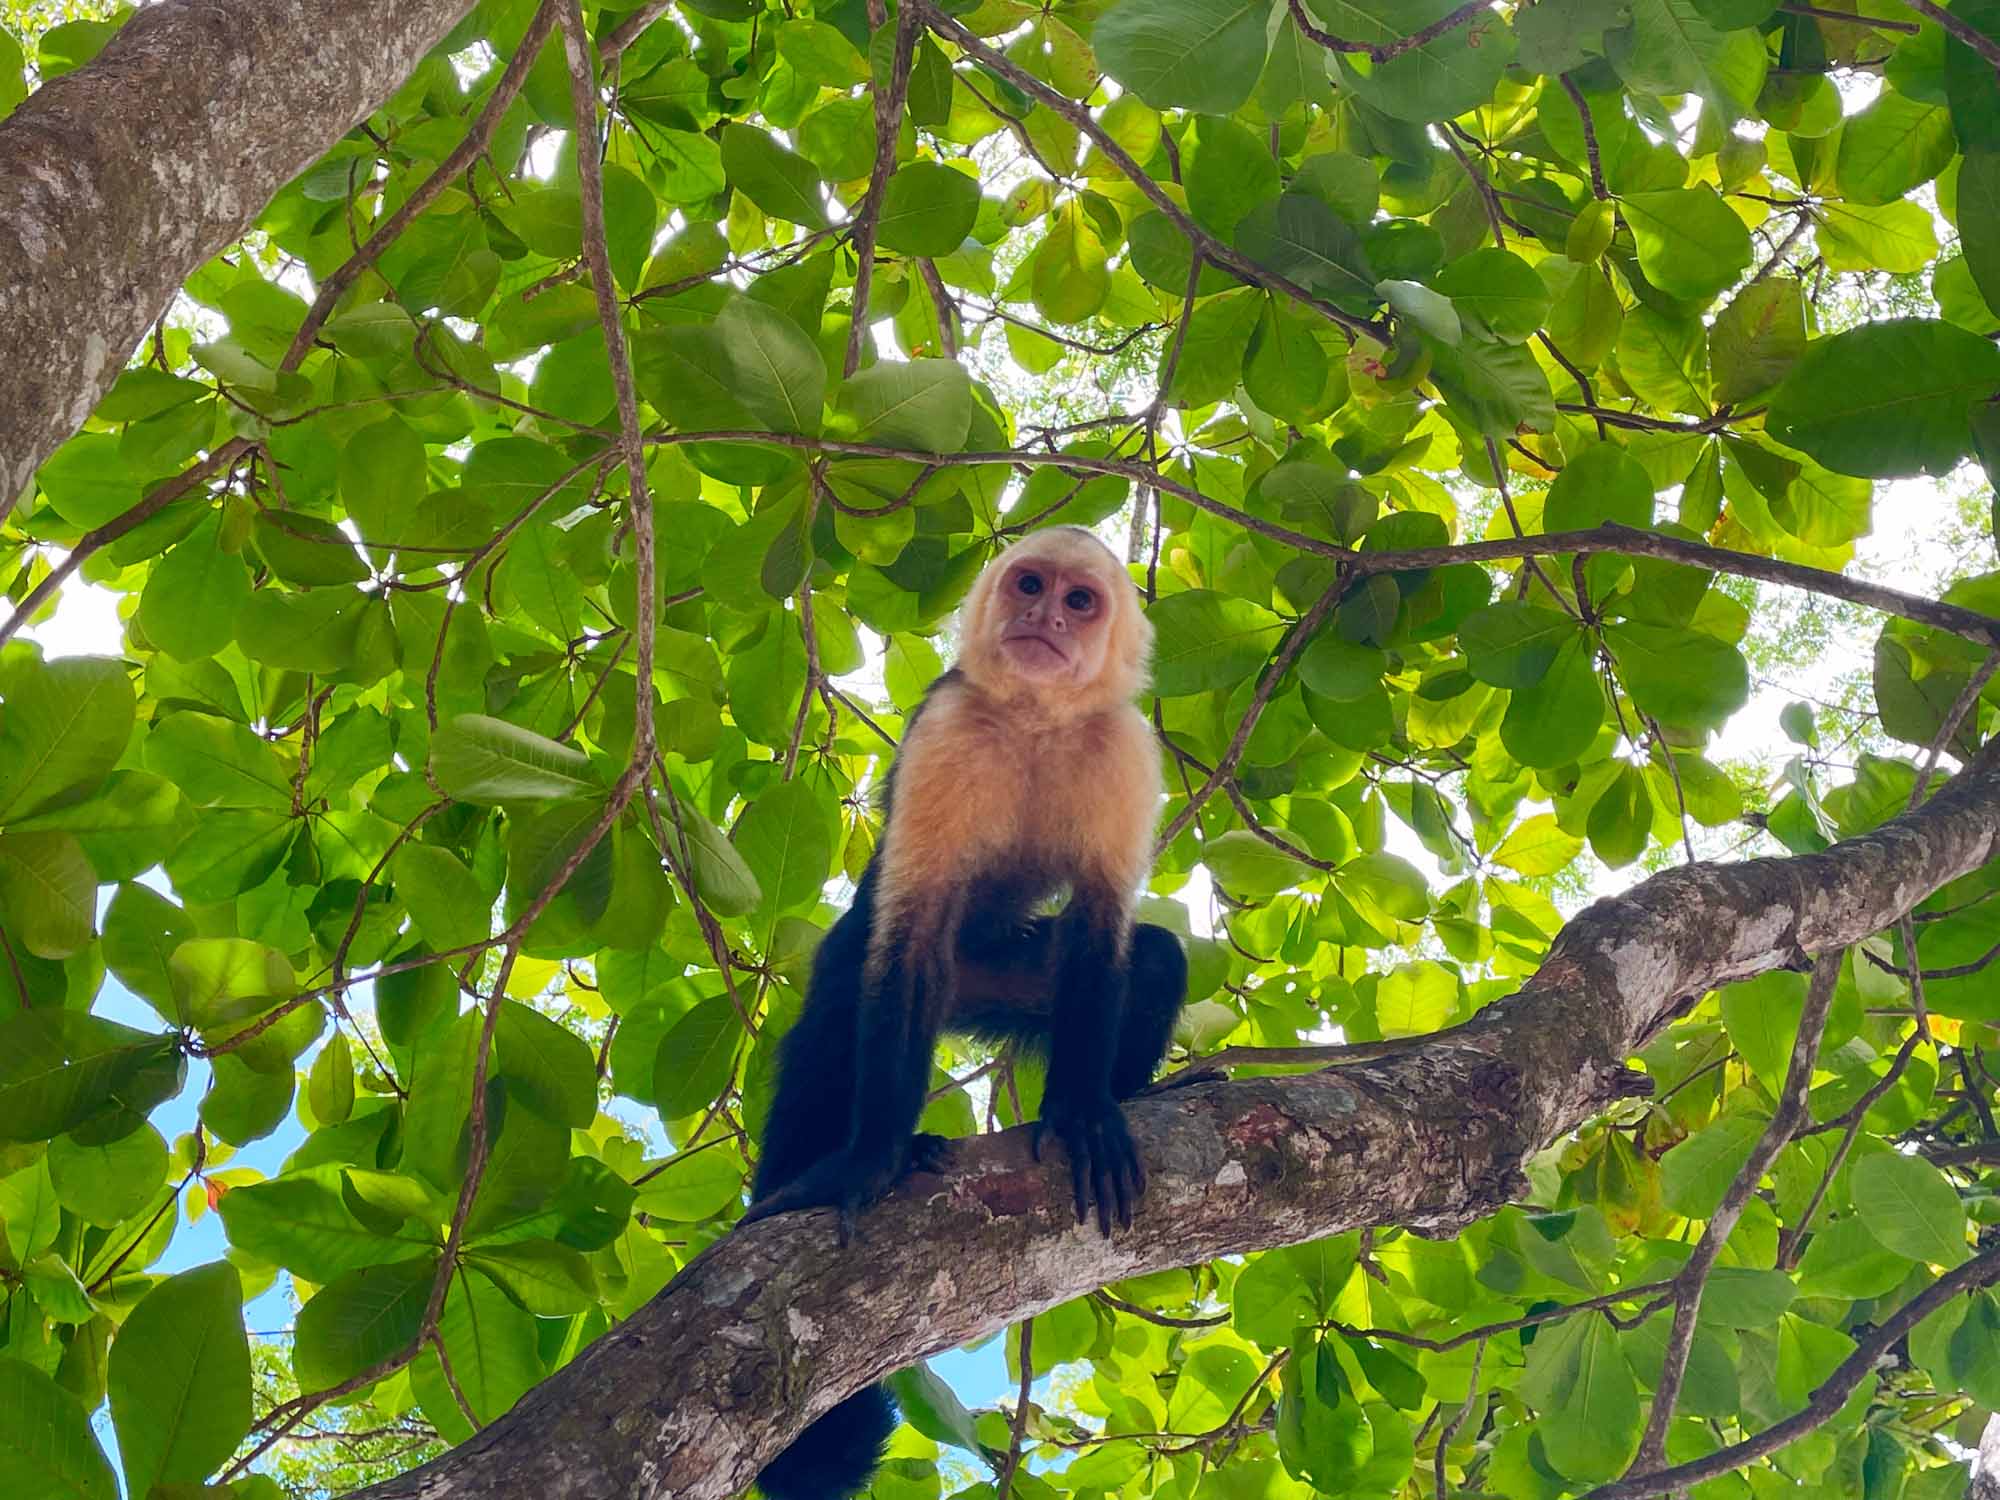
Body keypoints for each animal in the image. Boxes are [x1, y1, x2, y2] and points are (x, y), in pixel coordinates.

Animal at [752, 524, 1184, 1500]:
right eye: (1028, 584)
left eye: (1079, 602)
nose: (1041, 617)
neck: (1036, 717)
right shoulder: (948, 730)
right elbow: (912, 930)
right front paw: (870, 1162)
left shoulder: (1125, 750)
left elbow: (1104, 935)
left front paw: (1083, 1115)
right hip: (900, 971)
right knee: (844, 1009)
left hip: (999, 976)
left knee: (1153, 965)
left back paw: (1129, 1097)